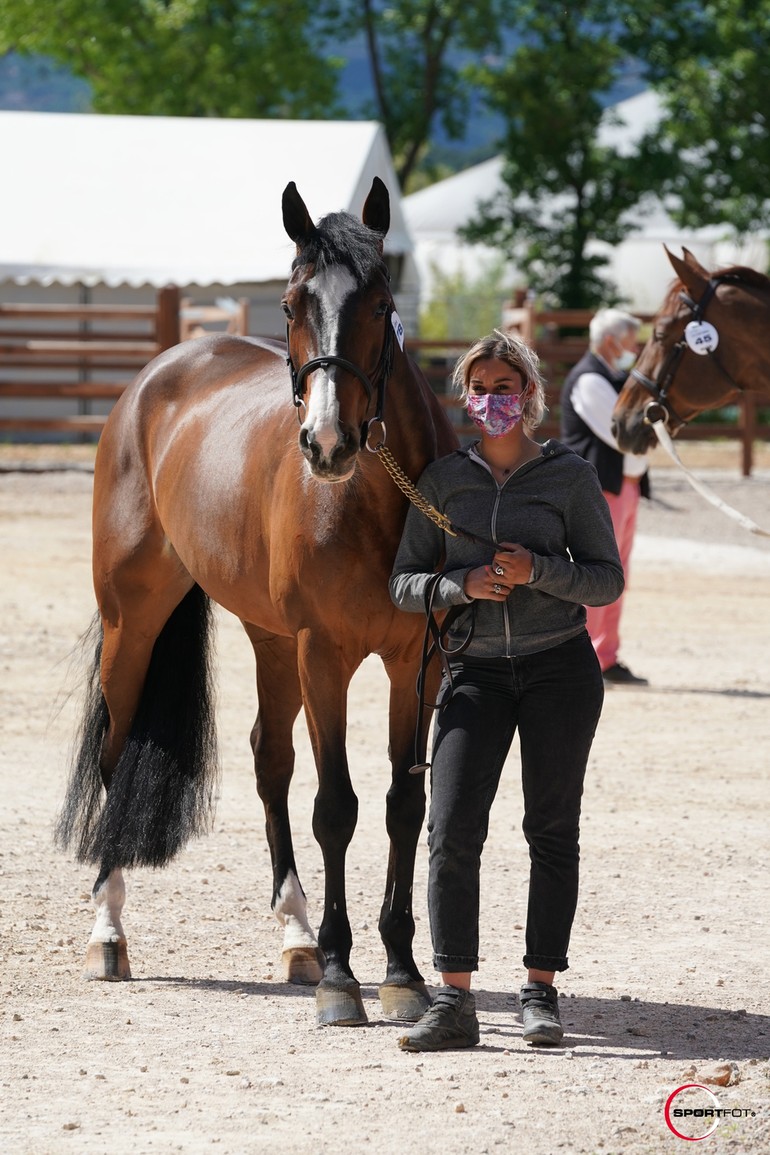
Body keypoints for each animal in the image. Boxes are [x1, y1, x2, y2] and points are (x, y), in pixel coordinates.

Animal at [60, 177, 461, 1030]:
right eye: (289, 303)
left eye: (382, 302)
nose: (328, 443)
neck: (377, 503)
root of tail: (160, 372)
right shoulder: (325, 654)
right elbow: (337, 805)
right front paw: (344, 979)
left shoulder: (417, 660)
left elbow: (402, 803)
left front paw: (401, 970)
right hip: (134, 622)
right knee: (114, 752)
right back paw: (108, 931)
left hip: (271, 640)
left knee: (269, 759)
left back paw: (296, 935)